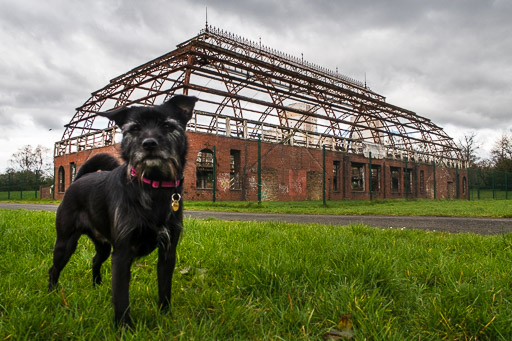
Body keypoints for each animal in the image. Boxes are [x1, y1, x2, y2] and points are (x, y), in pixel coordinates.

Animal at [49, 94, 198, 326]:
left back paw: (96, 287)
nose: (149, 143)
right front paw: (124, 327)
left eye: (167, 125)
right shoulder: (122, 254)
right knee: (54, 269)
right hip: (65, 243)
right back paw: (51, 294)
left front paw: (165, 317)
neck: (152, 187)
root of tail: (79, 179)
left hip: (102, 246)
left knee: (95, 260)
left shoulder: (167, 252)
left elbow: (165, 289)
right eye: (135, 128)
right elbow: (121, 296)